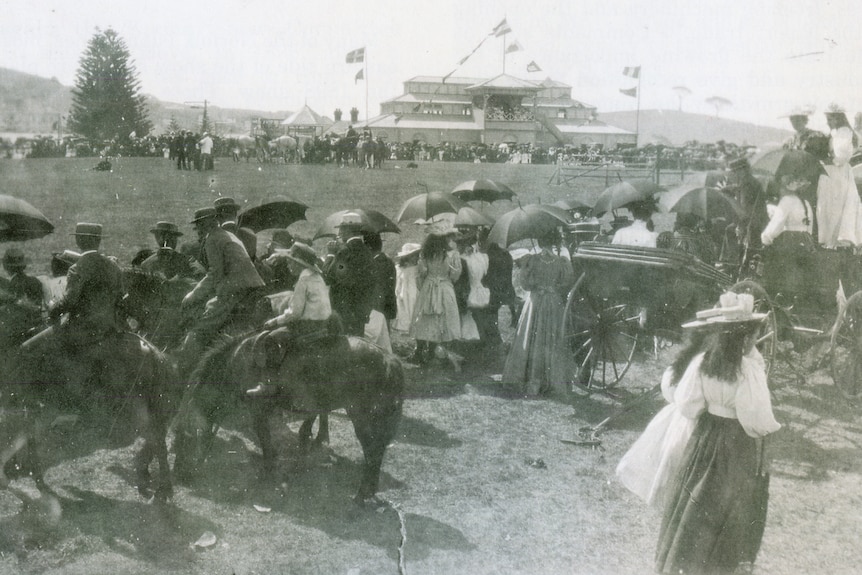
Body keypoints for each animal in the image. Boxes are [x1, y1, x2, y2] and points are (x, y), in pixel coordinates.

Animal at [176, 330, 408, 502]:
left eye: (184, 438)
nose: (182, 477)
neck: (237, 362)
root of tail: (390, 360)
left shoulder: (258, 409)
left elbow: (265, 439)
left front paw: (268, 471)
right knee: (376, 451)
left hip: (363, 417)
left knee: (372, 452)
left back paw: (361, 494)